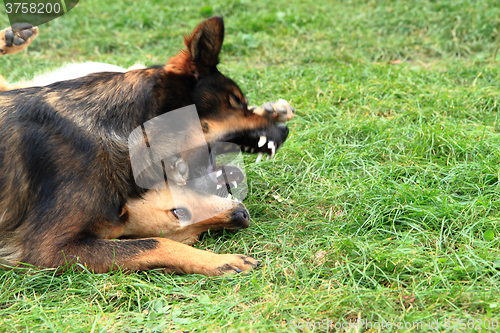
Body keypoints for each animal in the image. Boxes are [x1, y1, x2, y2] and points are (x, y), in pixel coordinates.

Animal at [0, 18, 294, 276]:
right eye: (235, 100)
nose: (285, 131)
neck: (124, 131)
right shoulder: (49, 248)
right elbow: (154, 243)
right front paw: (220, 262)